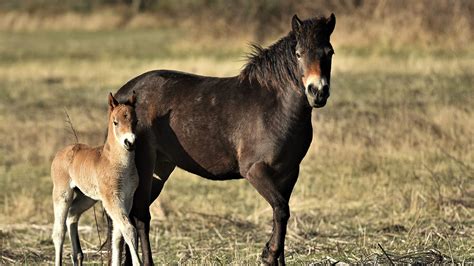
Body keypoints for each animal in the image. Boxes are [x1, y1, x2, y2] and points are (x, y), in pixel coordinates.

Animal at [51, 92, 142, 264]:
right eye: (115, 122)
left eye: (135, 121)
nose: (130, 142)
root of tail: (60, 152)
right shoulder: (111, 198)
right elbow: (129, 229)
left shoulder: (127, 197)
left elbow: (118, 235)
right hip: (62, 193)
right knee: (58, 231)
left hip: (87, 197)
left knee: (72, 214)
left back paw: (77, 256)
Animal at [115, 13, 336, 264]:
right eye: (299, 53)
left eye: (329, 52)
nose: (317, 92)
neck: (275, 108)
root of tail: (124, 94)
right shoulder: (254, 171)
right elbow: (281, 210)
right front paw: (268, 254)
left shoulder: (288, 173)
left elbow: (281, 214)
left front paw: (274, 256)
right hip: (144, 165)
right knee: (140, 216)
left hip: (161, 169)